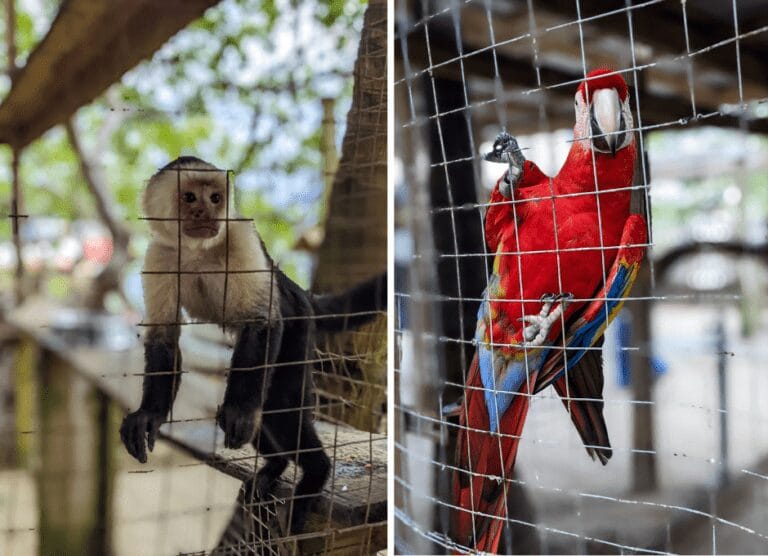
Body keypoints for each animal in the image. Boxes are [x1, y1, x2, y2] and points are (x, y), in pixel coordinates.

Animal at [121, 155, 388, 536]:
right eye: (189, 197)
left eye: (215, 198)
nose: (206, 212)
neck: (198, 251)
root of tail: (300, 292)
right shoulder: (160, 255)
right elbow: (164, 338)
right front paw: (149, 415)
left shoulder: (240, 234)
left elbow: (260, 322)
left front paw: (241, 412)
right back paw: (276, 464)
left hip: (298, 326)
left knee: (278, 399)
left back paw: (315, 470)